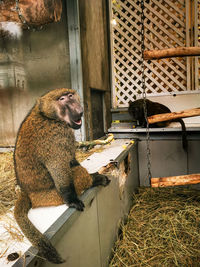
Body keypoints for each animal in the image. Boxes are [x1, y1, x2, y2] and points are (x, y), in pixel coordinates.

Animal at [13, 89, 111, 264]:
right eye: (63, 99)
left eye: (71, 96)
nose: (78, 109)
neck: (46, 115)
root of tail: (28, 192)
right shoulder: (57, 135)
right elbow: (59, 167)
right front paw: (72, 199)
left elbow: (71, 161)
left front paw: (94, 175)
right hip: (50, 196)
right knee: (78, 173)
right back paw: (92, 181)